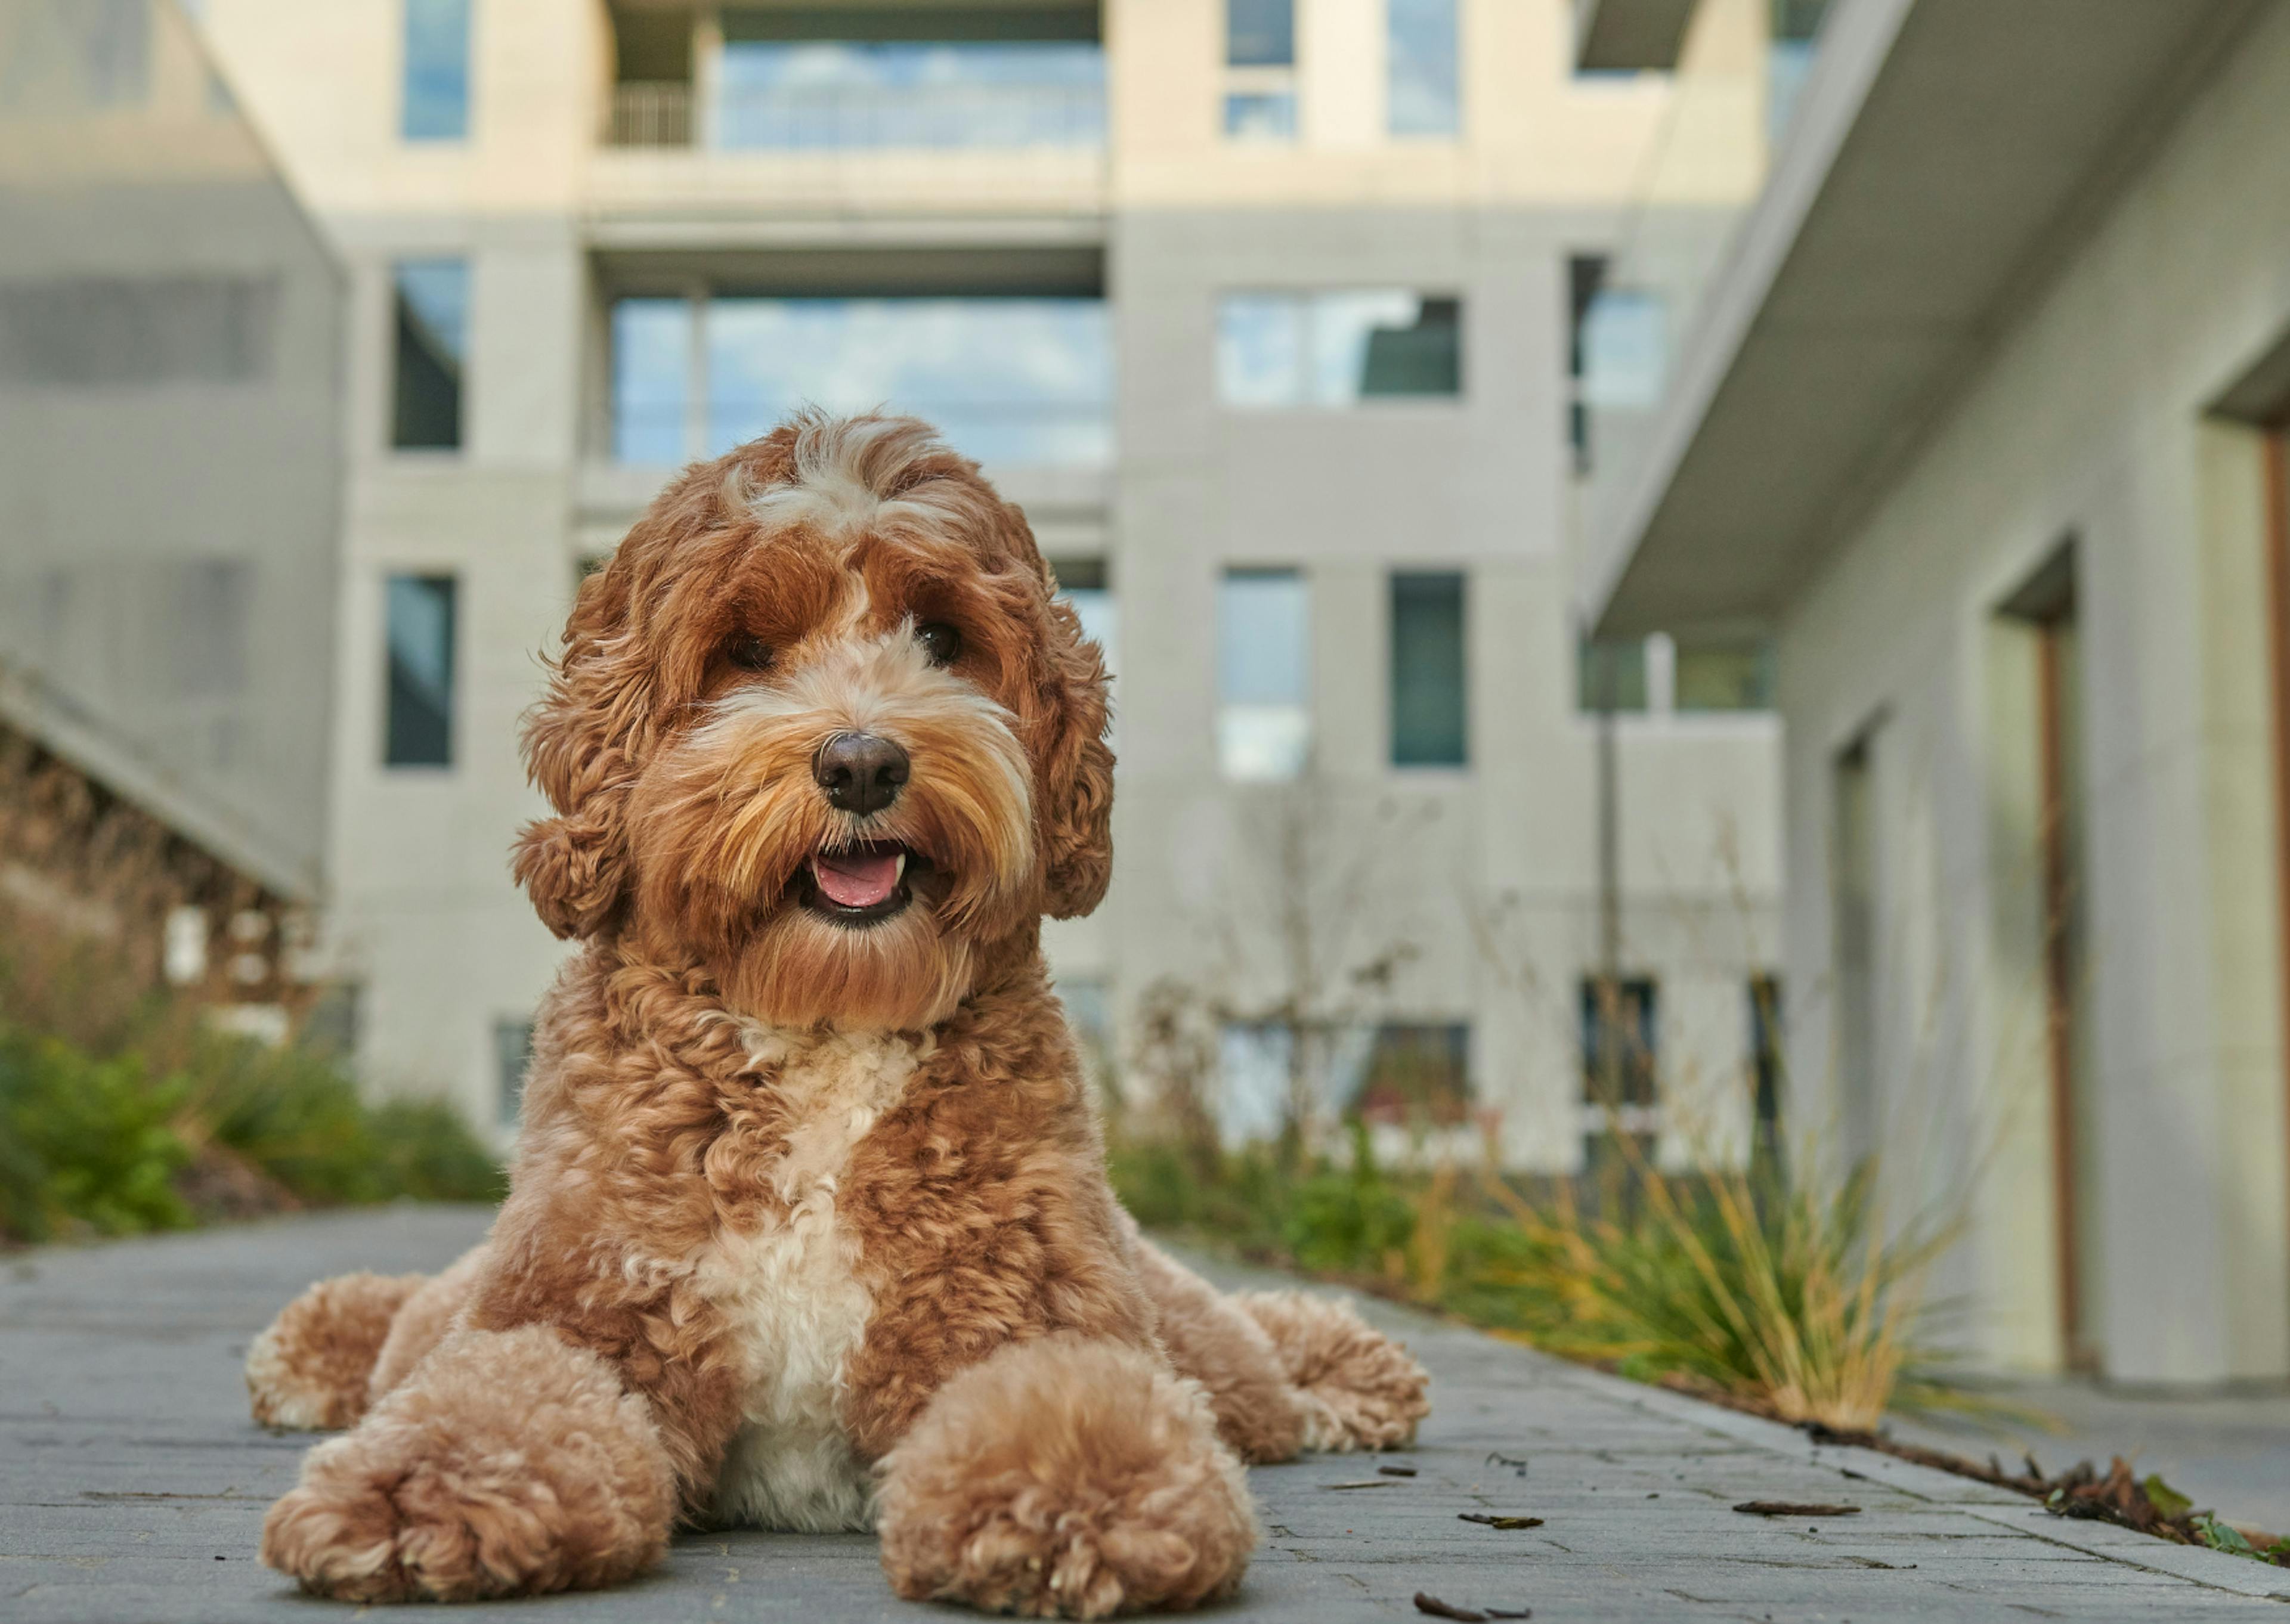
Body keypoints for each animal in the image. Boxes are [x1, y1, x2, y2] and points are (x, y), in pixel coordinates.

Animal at [255, 407, 1429, 1612]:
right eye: (746, 650)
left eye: (943, 635)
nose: (863, 762)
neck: (826, 1020)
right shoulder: (579, 1297)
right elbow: (497, 1390)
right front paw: (421, 1490)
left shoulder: (1027, 1306)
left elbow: (1071, 1396)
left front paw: (1080, 1498)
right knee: (418, 1314)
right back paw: (322, 1341)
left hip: (1174, 1313)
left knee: (1245, 1360)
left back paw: (1346, 1366)